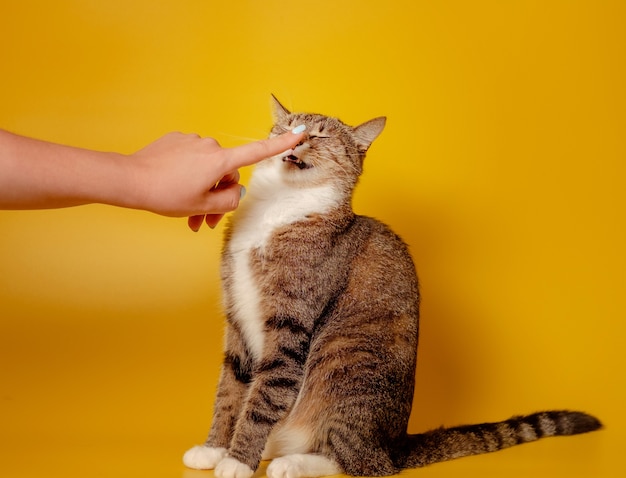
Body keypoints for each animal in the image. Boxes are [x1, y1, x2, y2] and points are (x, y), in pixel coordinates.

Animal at [182, 97, 600, 478]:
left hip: (342, 366)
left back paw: (293, 462)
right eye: (286, 128)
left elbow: (264, 397)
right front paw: (215, 449)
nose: (295, 140)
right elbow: (231, 391)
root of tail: (394, 443)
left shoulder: (291, 321)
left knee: (361, 463)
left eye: (320, 134)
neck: (277, 209)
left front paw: (238, 460)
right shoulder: (237, 316)